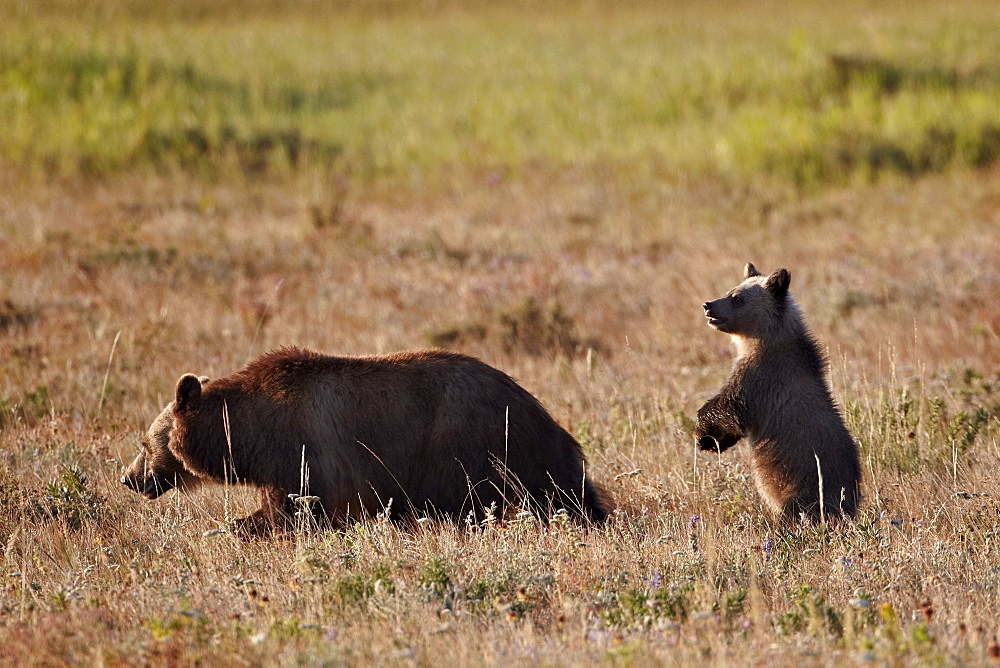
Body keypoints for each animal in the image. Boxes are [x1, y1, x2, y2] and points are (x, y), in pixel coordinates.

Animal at [123, 350, 608, 532]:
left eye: (145, 444)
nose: (129, 478)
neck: (249, 435)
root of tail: (533, 406)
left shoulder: (307, 454)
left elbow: (295, 509)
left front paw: (238, 526)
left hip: (465, 443)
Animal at [696, 264, 860, 524]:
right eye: (730, 290)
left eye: (737, 298)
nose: (708, 304)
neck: (765, 339)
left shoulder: (759, 378)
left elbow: (729, 408)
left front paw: (705, 436)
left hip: (806, 486)